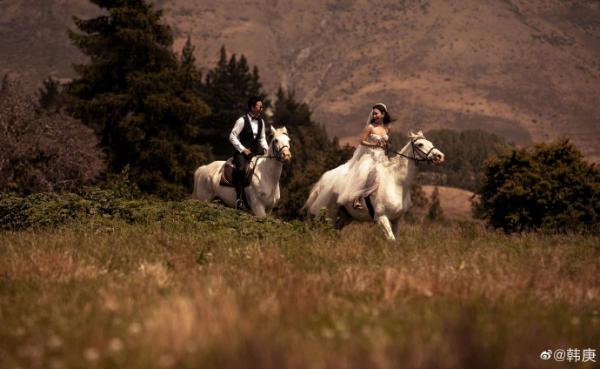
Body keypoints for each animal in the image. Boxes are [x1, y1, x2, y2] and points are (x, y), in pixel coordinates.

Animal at [308, 131, 442, 240]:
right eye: (420, 144)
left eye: (430, 142)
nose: (440, 156)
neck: (397, 183)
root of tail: (325, 177)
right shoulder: (381, 217)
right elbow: (391, 239)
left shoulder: (396, 220)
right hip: (330, 213)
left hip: (346, 216)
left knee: (333, 232)